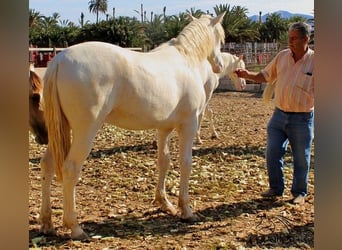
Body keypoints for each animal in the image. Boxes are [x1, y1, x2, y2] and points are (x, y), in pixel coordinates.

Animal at [38, 12, 226, 239]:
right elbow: (186, 163)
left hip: (60, 131)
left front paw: (164, 203)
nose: (219, 66)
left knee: (47, 164)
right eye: (221, 39)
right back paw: (74, 227)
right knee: (70, 169)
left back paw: (47, 222)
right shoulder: (188, 124)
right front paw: (186, 209)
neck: (186, 60)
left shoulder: (164, 128)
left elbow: (164, 161)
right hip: (84, 132)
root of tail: (59, 60)